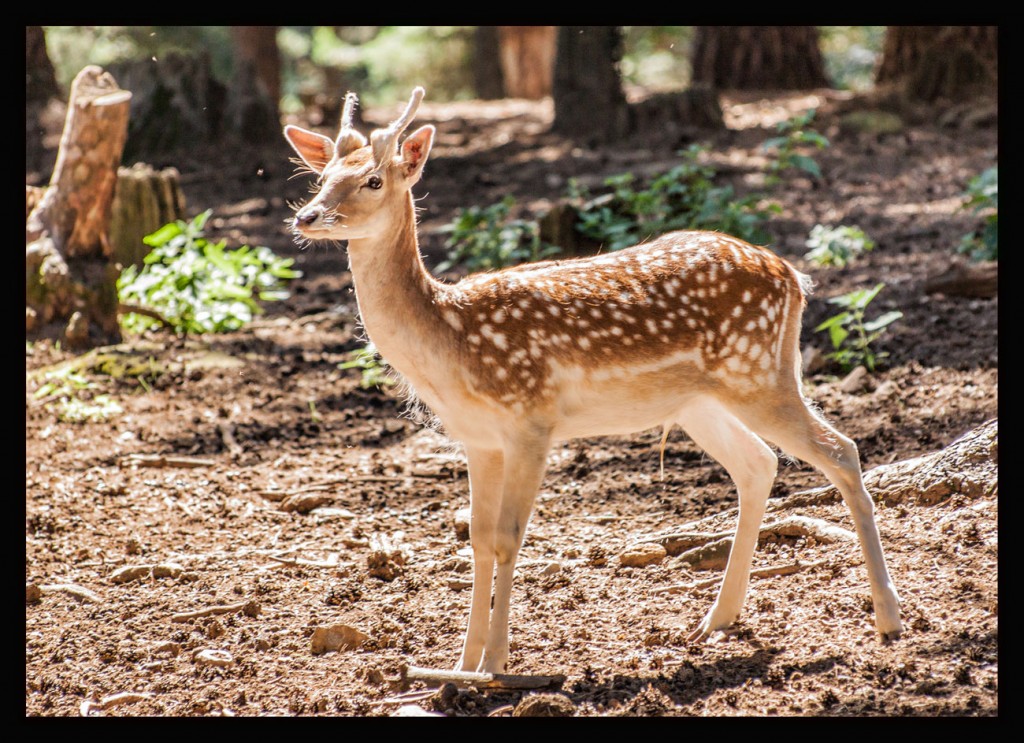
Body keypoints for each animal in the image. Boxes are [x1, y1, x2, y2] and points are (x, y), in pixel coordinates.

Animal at [282, 87, 905, 675]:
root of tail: (794, 277)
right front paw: (457, 666)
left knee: (841, 450)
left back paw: (887, 618)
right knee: (760, 464)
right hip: (700, 402)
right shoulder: (478, 439)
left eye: (373, 179)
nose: (307, 216)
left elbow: (508, 538)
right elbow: (478, 540)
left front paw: (495, 665)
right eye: (321, 177)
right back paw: (717, 620)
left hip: (760, 373)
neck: (450, 341)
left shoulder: (531, 422)